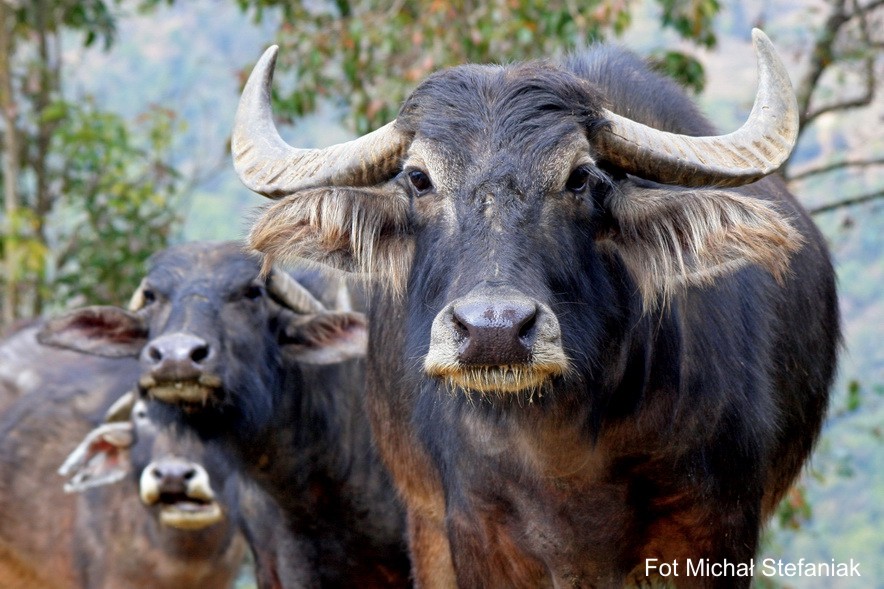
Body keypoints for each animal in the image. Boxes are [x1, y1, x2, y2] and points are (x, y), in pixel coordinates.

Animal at [231, 29, 840, 584]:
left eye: (580, 178)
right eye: (419, 179)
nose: (493, 331)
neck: (563, 451)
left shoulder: (712, 529)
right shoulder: (475, 529)